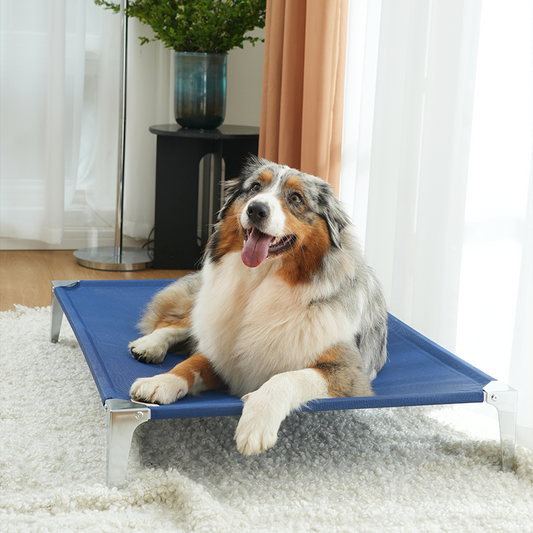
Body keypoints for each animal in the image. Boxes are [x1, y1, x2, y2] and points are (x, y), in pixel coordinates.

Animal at [129, 156, 386, 456]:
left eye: (296, 198)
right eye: (254, 188)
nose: (256, 209)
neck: (259, 284)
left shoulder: (349, 373)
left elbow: (286, 377)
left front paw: (256, 424)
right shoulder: (222, 351)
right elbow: (191, 363)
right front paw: (161, 382)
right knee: (177, 322)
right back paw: (150, 344)